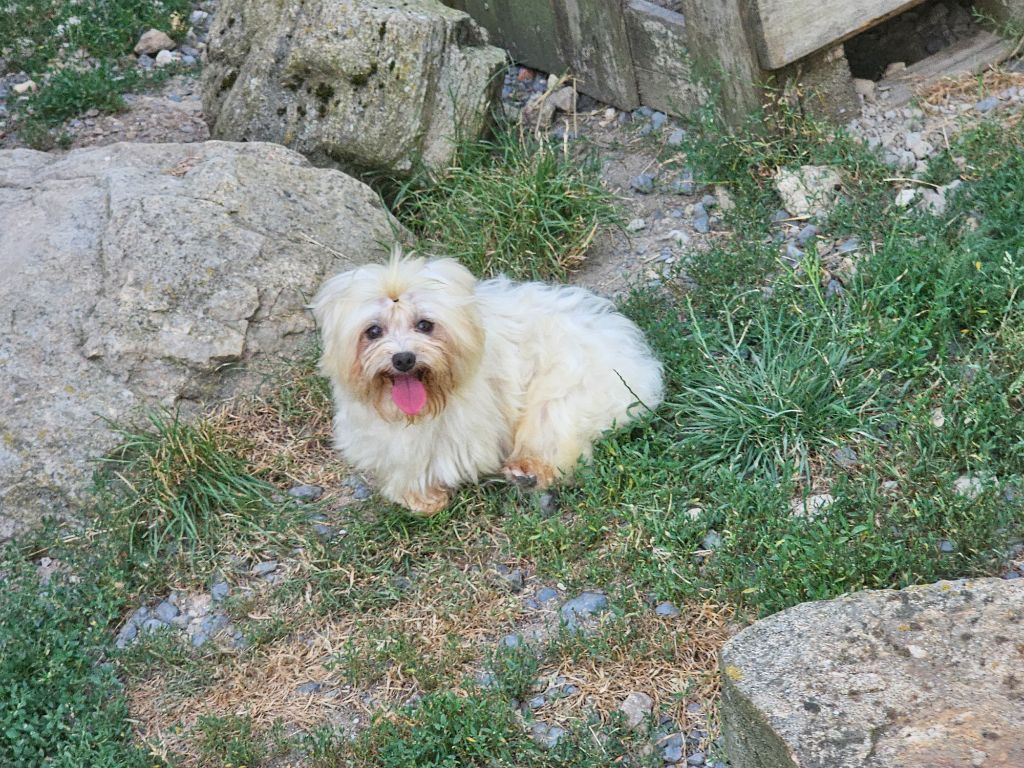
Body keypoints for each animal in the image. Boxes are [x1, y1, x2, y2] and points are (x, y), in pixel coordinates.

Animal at [311, 249, 663, 518]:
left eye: (425, 325)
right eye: (373, 331)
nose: (403, 359)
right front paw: (418, 495)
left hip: (565, 390)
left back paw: (531, 471)